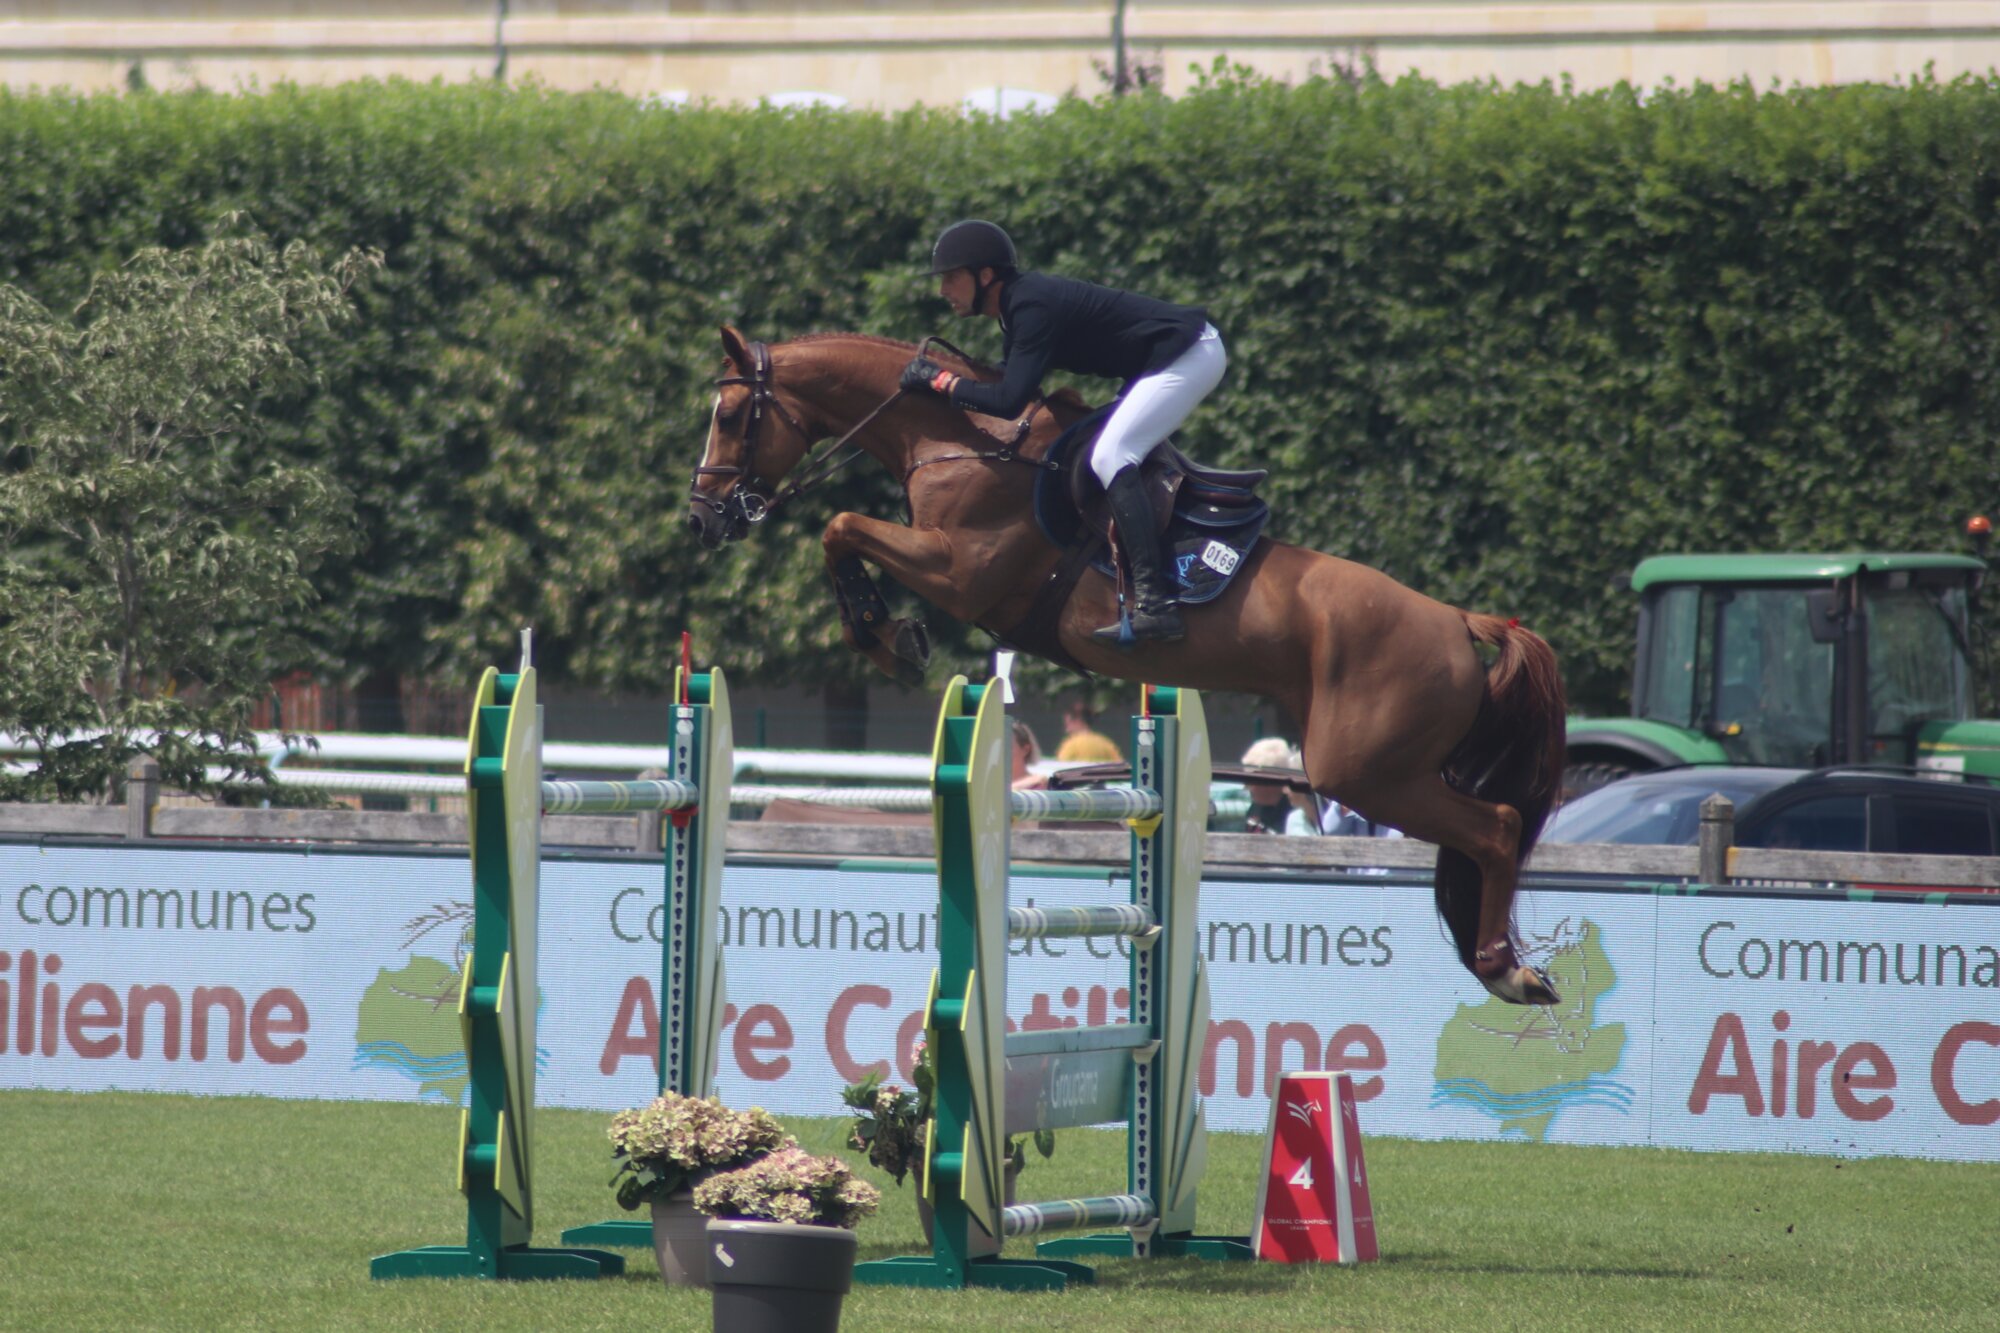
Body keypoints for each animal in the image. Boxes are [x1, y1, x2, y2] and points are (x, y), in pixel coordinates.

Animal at [689, 326, 1567, 1006]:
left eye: (730, 416)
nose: (705, 518)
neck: (958, 442)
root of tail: (1458, 622)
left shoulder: (961, 572)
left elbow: (839, 525)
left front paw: (885, 635)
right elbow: (840, 530)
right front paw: (885, 631)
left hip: (1365, 770)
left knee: (1496, 827)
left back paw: (1508, 972)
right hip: (1381, 768)